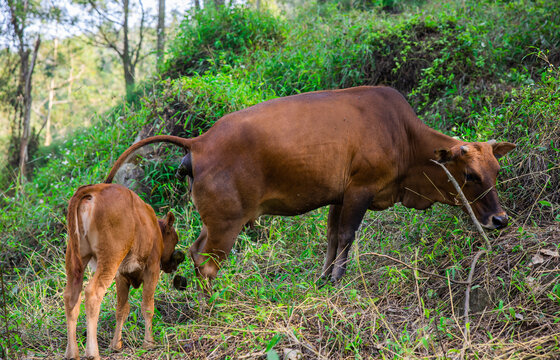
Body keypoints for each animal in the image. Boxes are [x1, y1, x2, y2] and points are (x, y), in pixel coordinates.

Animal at [64, 184, 184, 360]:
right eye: (174, 239)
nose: (173, 264)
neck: (153, 227)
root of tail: (95, 189)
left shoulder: (120, 276)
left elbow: (122, 309)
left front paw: (116, 345)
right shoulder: (152, 270)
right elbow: (148, 306)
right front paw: (149, 343)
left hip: (76, 259)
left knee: (71, 297)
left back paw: (72, 353)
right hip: (109, 258)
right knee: (93, 293)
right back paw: (92, 353)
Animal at [105, 86, 516, 288]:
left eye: (496, 169)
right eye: (470, 175)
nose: (499, 220)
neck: (404, 137)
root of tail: (199, 142)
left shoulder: (339, 196)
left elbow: (333, 238)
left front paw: (322, 277)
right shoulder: (360, 190)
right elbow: (347, 236)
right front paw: (336, 281)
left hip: (216, 222)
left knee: (193, 250)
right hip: (226, 225)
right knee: (206, 263)